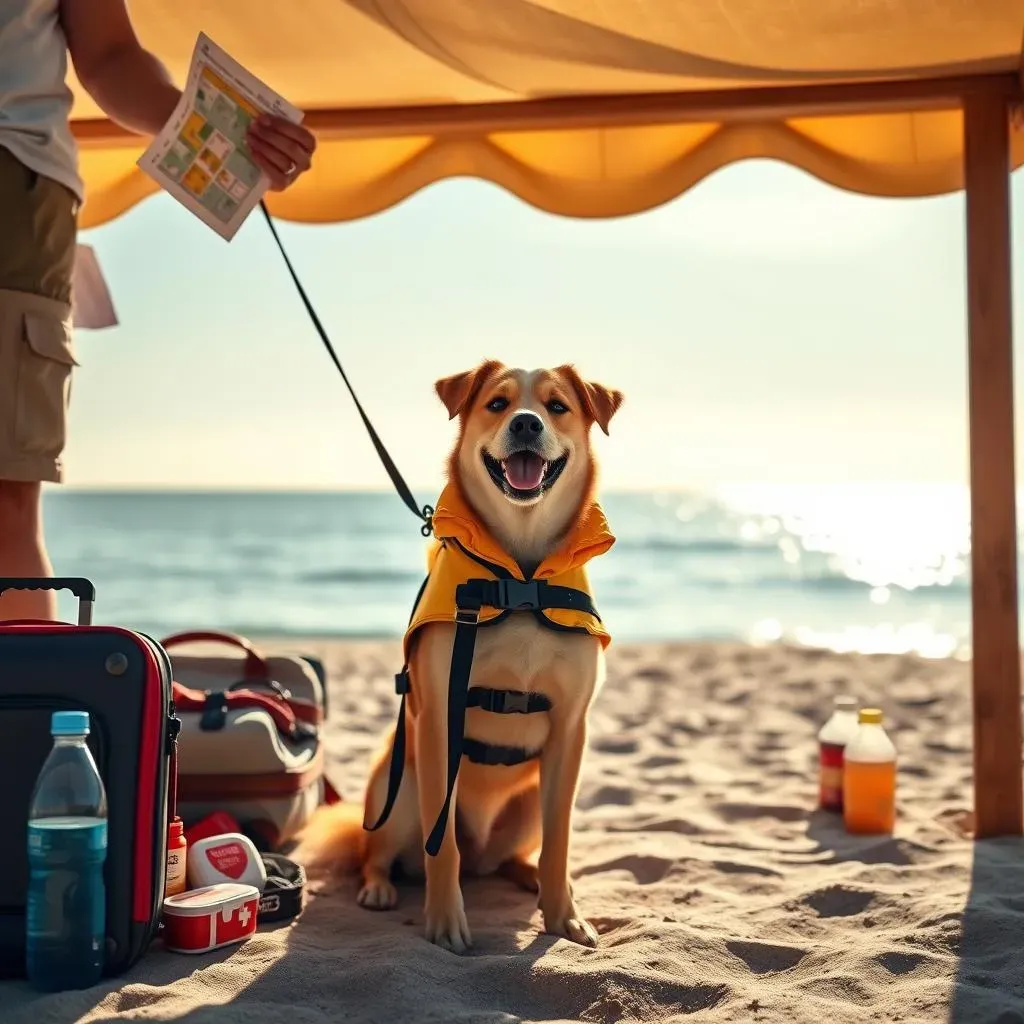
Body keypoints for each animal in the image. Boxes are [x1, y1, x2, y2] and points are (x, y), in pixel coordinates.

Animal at [292, 360, 618, 950]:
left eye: (557, 406)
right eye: (498, 403)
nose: (527, 423)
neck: (519, 576)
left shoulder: (570, 730)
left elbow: (560, 842)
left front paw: (563, 916)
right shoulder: (438, 718)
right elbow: (439, 845)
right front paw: (445, 923)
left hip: (526, 805)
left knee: (505, 859)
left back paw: (528, 875)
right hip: (397, 791)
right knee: (383, 852)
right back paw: (379, 888)